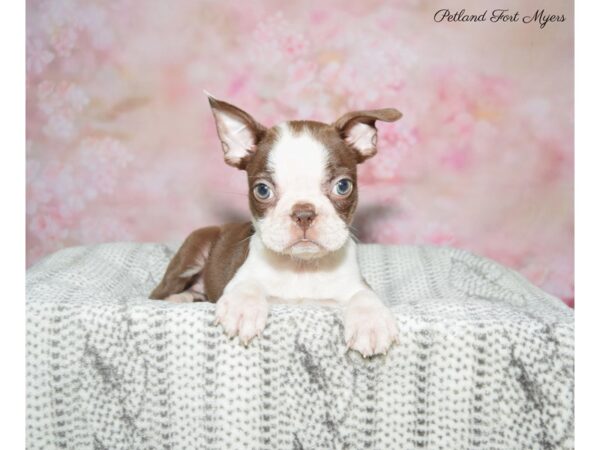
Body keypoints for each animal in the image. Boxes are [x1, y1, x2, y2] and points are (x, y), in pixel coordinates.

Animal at [150, 94, 404, 356]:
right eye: (262, 190)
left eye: (343, 186)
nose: (303, 213)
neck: (301, 267)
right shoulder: (240, 277)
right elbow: (247, 284)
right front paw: (242, 307)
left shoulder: (355, 284)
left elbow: (364, 296)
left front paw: (371, 322)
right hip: (195, 247)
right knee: (158, 292)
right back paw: (178, 299)